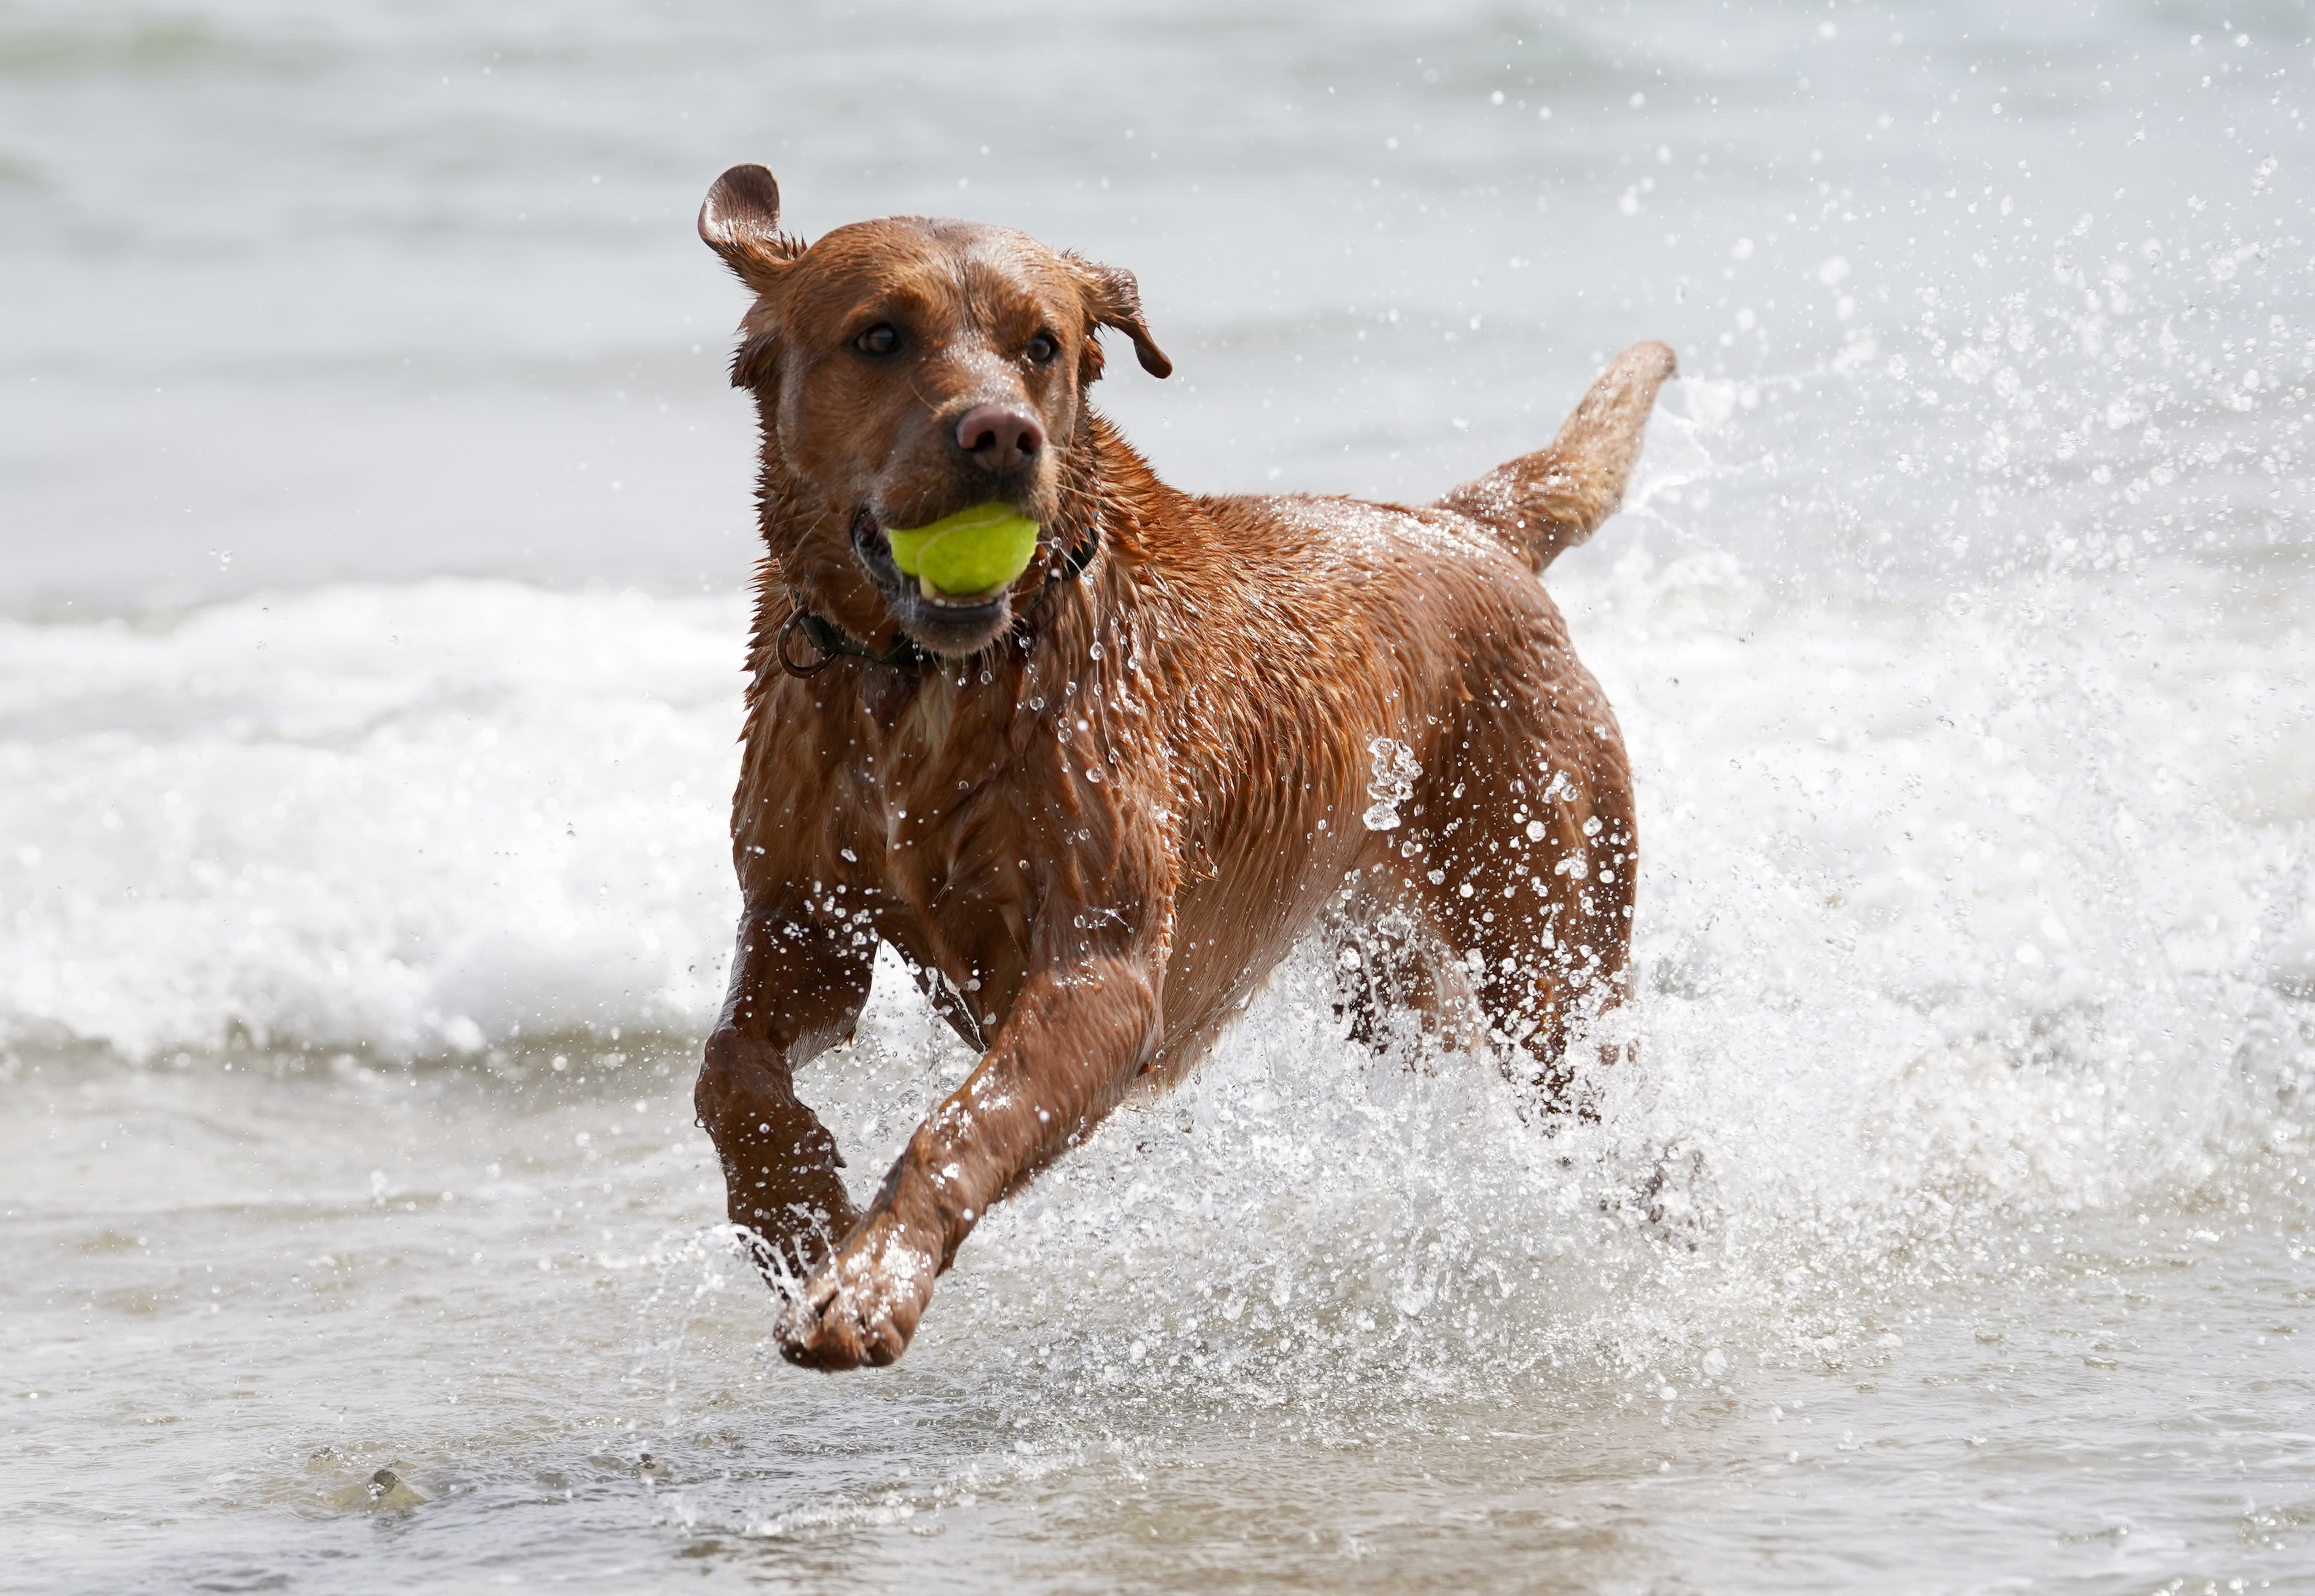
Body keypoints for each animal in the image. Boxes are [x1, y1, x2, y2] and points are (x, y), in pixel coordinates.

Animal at [680, 164, 1667, 1371]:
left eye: (1043, 345)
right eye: (879, 336)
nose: (1001, 435)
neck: (924, 683)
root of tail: (1463, 528)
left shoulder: (1100, 969)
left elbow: (965, 1120)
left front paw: (869, 1276)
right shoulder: (803, 923)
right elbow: (727, 1070)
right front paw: (794, 1209)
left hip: (1548, 944)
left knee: (1622, 1118)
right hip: (1388, 967)